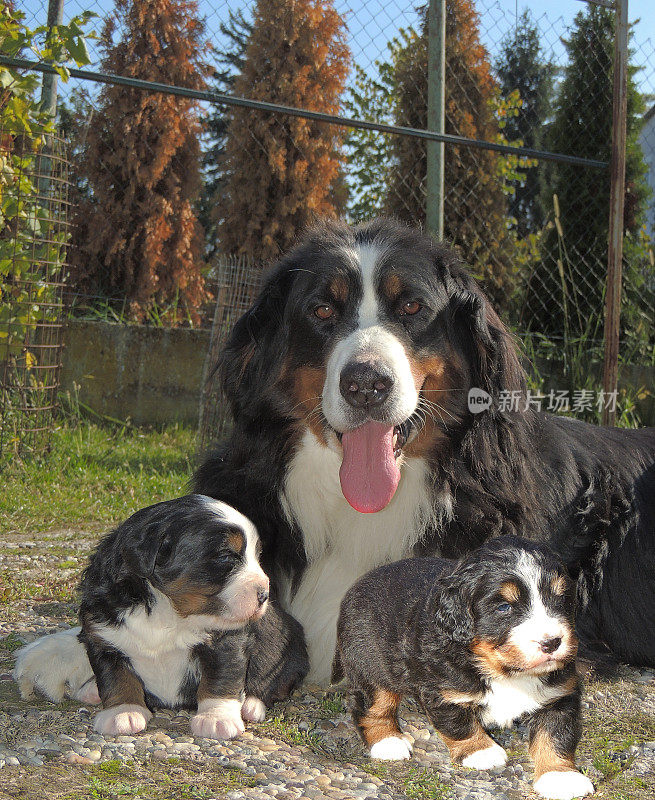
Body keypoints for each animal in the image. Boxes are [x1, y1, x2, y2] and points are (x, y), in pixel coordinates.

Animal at [15, 496, 308, 740]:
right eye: (226, 556)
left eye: (257, 557)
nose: (264, 594)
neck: (170, 612)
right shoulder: (102, 638)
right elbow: (116, 677)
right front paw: (122, 713)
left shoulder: (227, 641)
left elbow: (221, 680)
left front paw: (216, 719)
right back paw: (91, 690)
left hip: (289, 653)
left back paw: (250, 705)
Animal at [334, 536, 596, 800]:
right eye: (504, 607)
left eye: (561, 598)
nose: (552, 642)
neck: (503, 671)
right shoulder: (444, 692)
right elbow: (459, 724)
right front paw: (481, 751)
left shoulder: (558, 695)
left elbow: (555, 734)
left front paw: (560, 776)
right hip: (370, 664)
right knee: (372, 705)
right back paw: (388, 741)